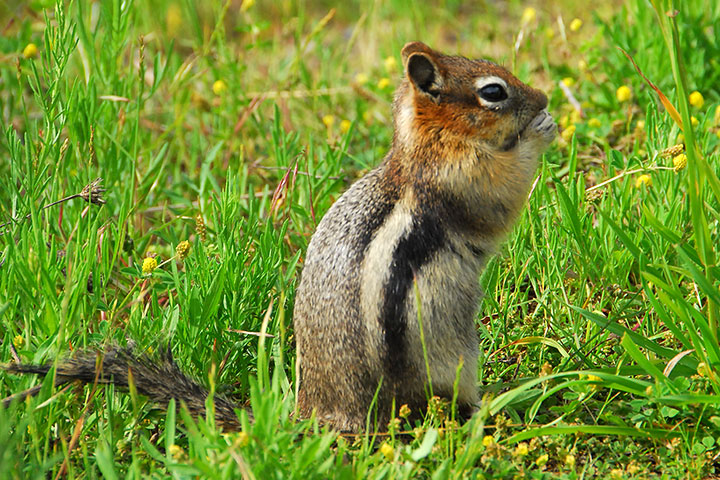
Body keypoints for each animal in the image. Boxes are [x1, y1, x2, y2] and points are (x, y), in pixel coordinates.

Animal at [2, 41, 556, 432]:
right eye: (493, 92)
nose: (545, 98)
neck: (427, 145)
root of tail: (324, 413)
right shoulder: (461, 181)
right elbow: (501, 199)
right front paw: (539, 132)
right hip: (449, 358)